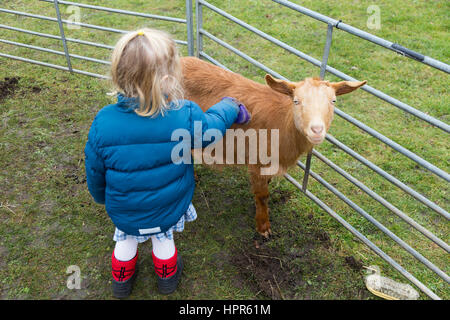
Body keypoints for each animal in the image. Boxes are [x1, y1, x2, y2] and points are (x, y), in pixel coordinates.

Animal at [181, 57, 368, 238]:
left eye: (333, 101)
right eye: (296, 101)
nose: (316, 130)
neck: (283, 124)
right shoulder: (257, 162)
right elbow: (263, 196)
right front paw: (263, 226)